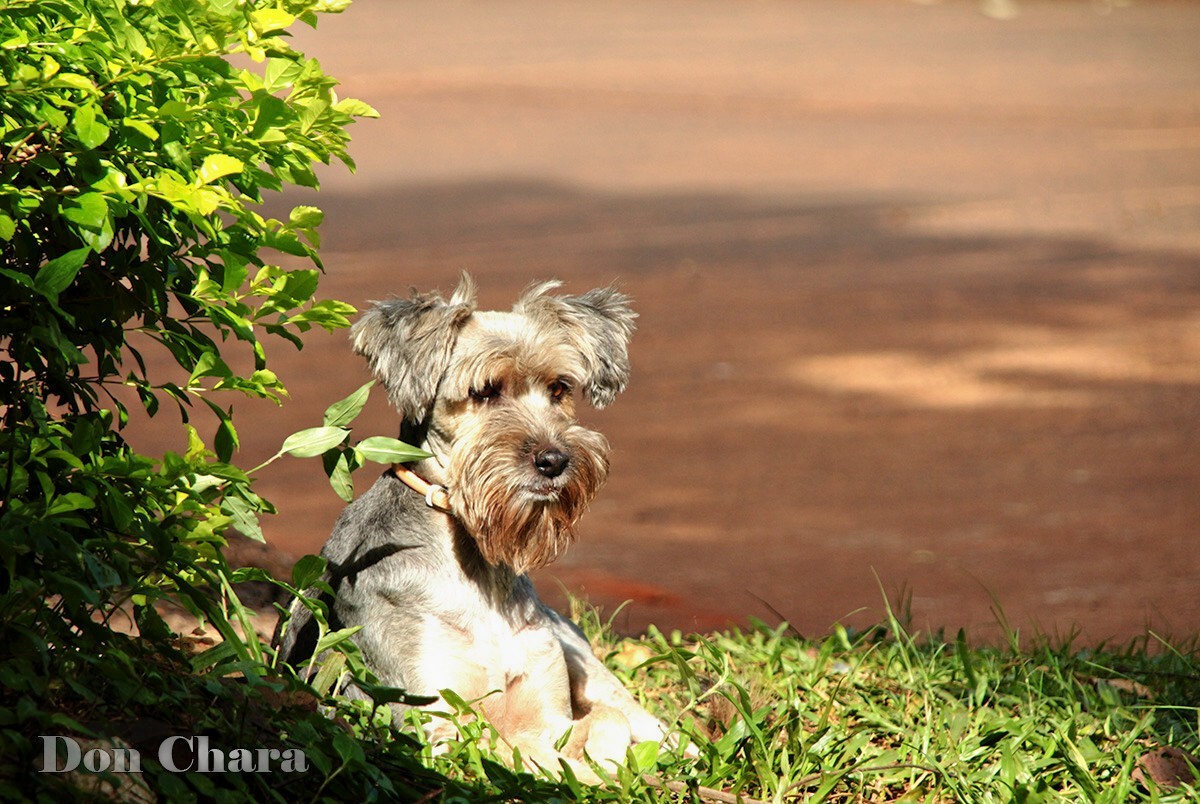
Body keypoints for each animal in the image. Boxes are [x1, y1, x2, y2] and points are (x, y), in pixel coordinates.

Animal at [276, 276, 681, 782]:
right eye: (484, 391)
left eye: (560, 387)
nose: (555, 460)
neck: (475, 563)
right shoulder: (434, 724)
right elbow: (514, 752)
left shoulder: (549, 711)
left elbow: (597, 724)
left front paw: (608, 764)